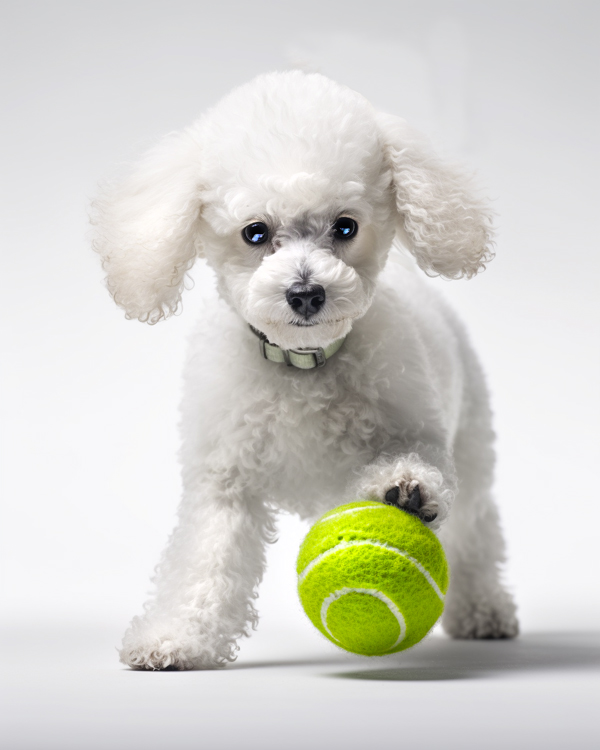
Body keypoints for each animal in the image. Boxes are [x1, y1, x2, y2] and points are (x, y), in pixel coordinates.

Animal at [91, 70, 516, 668]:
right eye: (254, 233)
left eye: (345, 227)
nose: (306, 293)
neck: (303, 366)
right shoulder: (224, 480)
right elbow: (204, 562)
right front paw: (175, 638)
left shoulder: (420, 430)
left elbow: (420, 464)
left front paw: (403, 488)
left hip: (474, 443)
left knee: (477, 531)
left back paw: (484, 611)